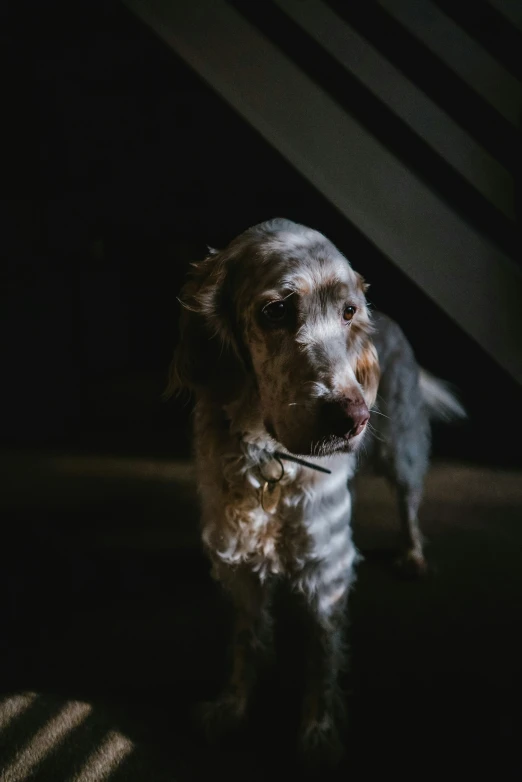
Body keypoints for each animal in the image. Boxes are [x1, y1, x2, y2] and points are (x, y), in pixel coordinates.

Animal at [167, 217, 464, 764]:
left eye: (348, 312)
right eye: (276, 310)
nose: (353, 419)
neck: (268, 460)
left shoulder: (326, 571)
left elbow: (321, 660)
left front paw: (319, 732)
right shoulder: (240, 564)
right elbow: (247, 642)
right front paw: (232, 707)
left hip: (402, 447)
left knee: (408, 501)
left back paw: (412, 553)